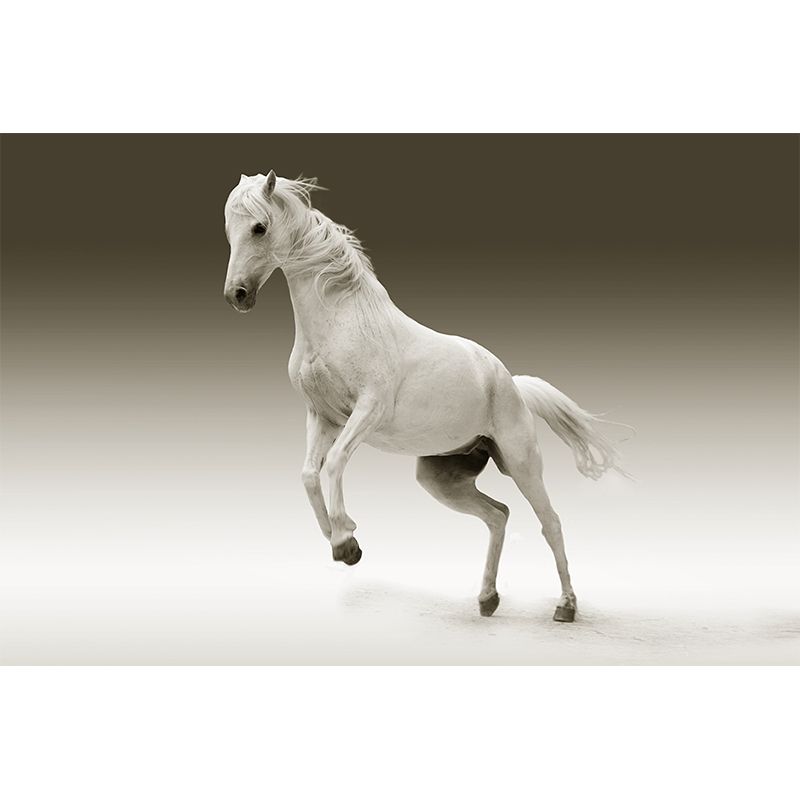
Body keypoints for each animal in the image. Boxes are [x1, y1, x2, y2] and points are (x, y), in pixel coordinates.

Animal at [223, 171, 625, 623]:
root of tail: (511, 383)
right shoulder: (321, 416)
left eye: (259, 227)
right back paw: (487, 599)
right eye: (229, 230)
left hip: (521, 463)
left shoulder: (368, 410)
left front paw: (345, 540)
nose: (237, 295)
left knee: (550, 522)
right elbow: (309, 474)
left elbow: (336, 463)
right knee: (498, 515)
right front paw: (343, 541)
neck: (341, 321)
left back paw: (565, 606)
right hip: (441, 478)